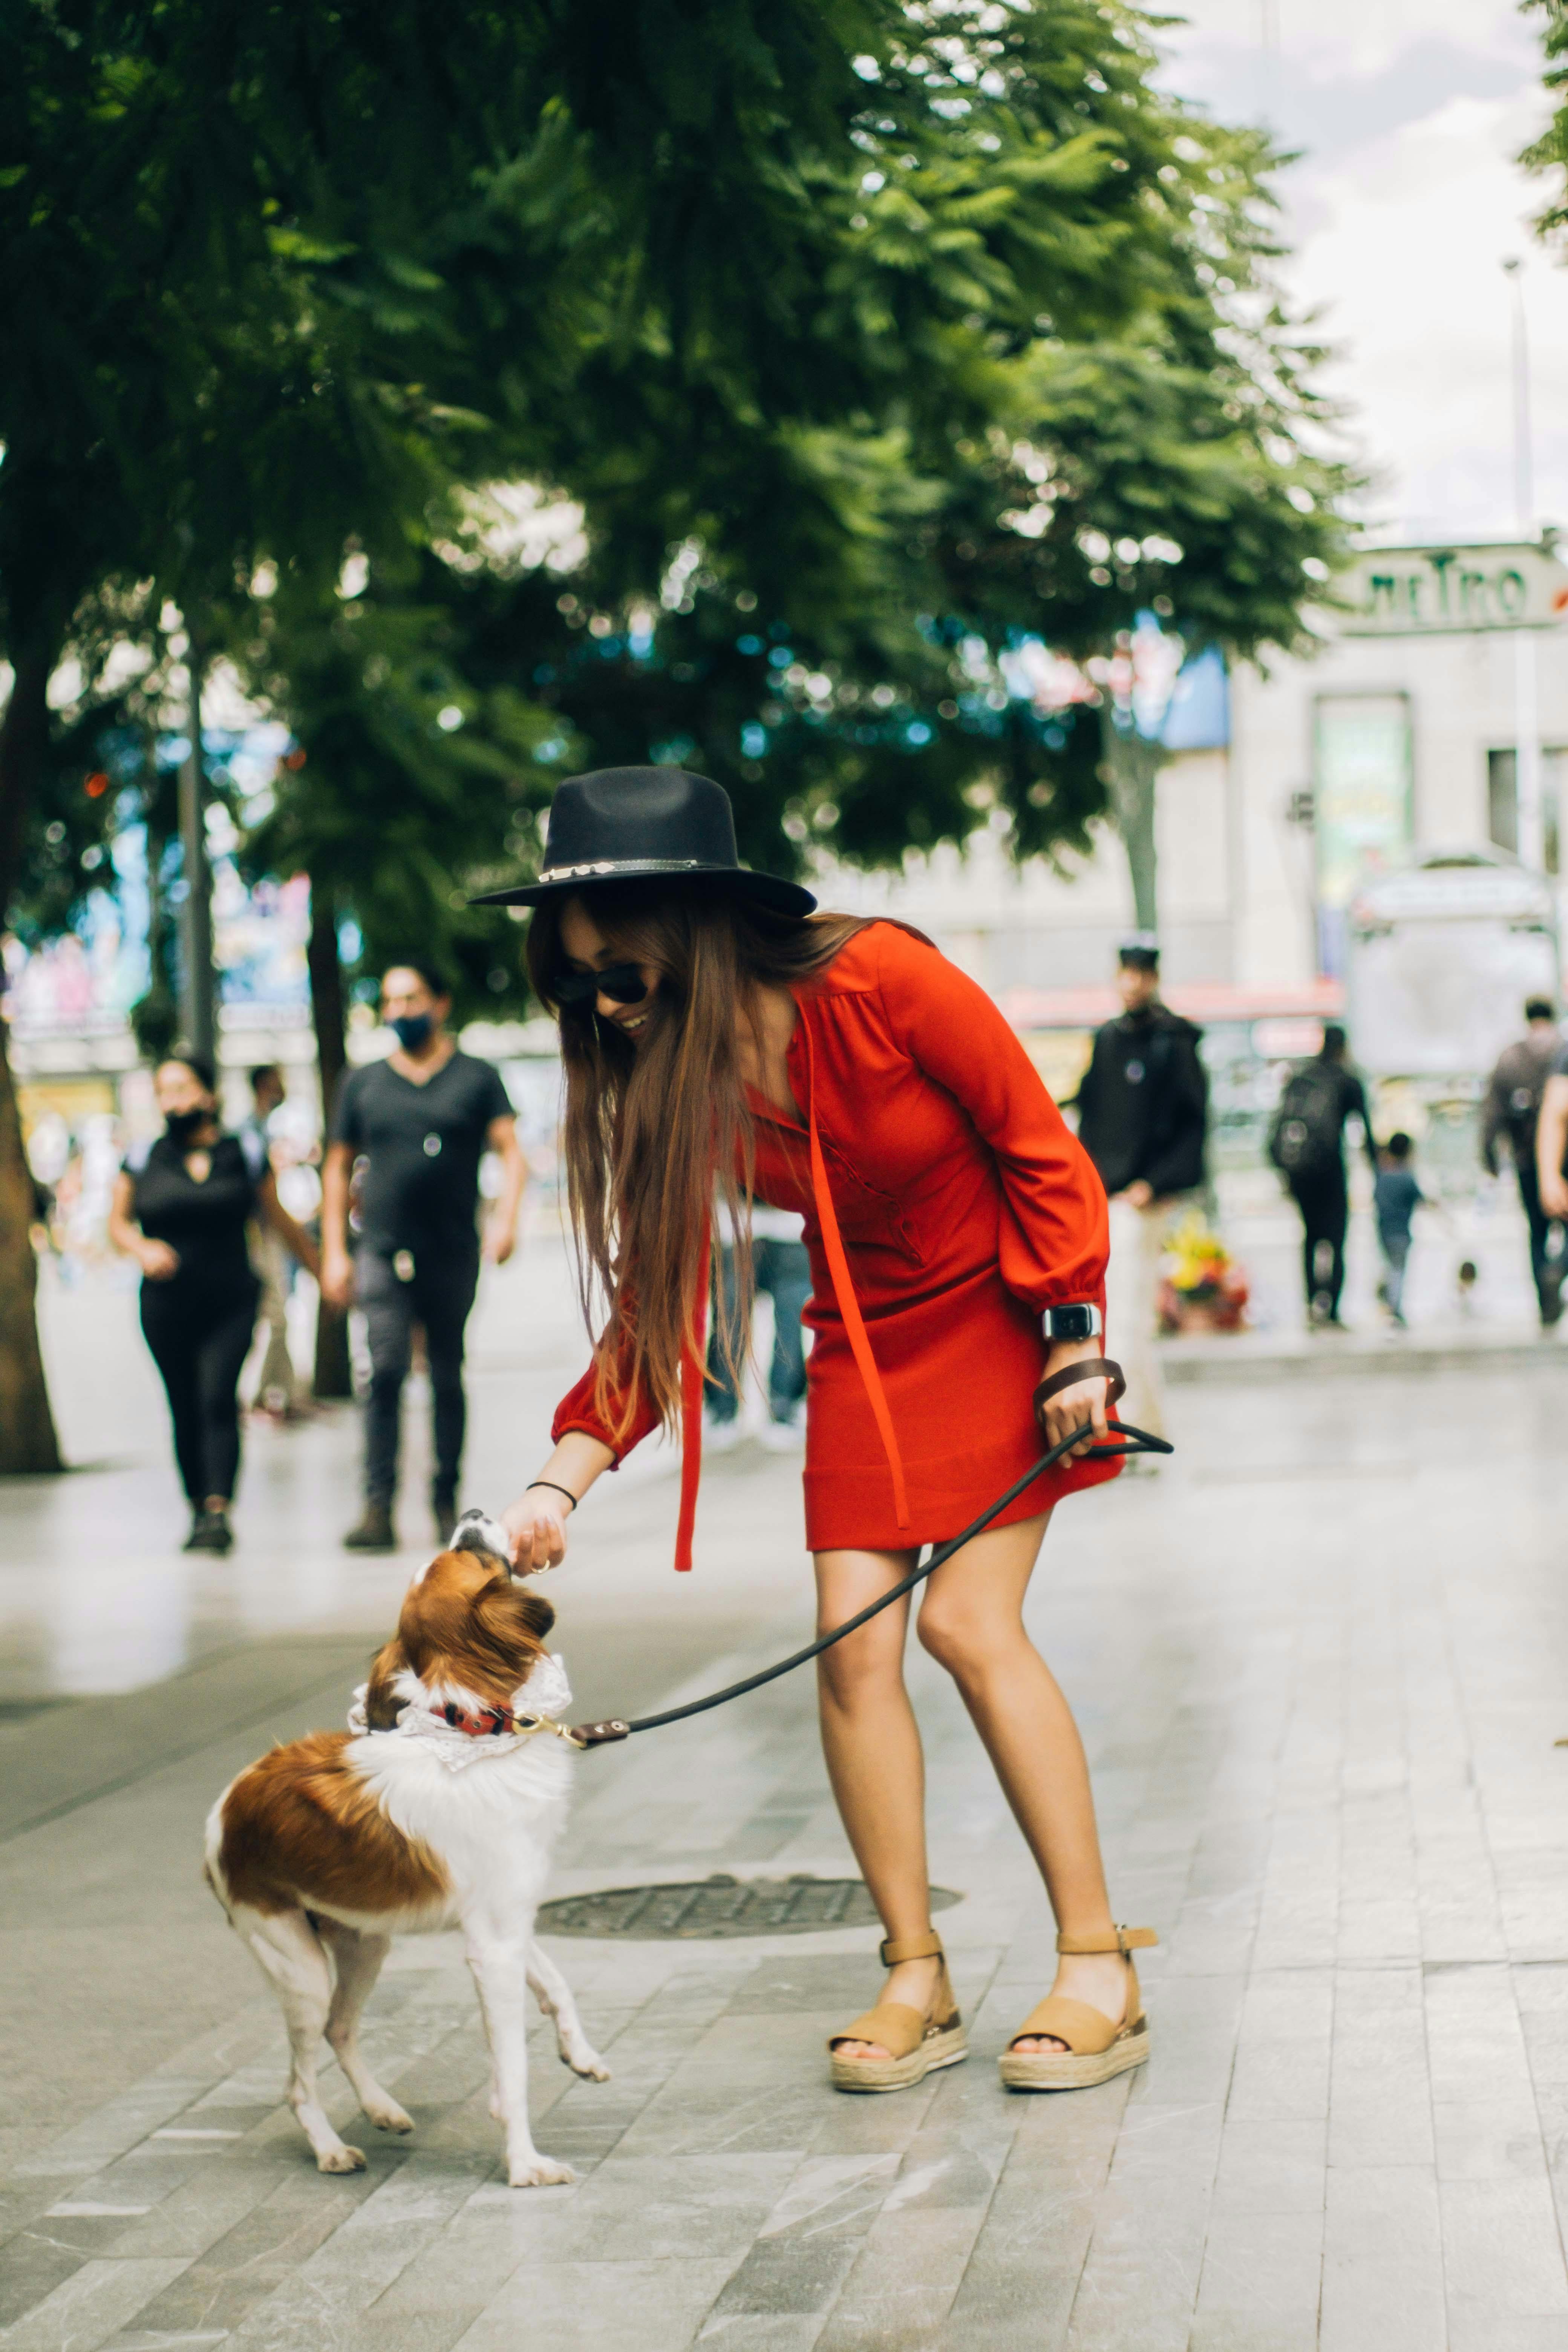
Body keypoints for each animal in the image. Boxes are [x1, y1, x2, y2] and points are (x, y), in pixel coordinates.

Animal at [202, 1505, 606, 2182]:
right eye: (470, 1553)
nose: (472, 1512)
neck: (476, 1737)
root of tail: (227, 1804)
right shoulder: (493, 1946)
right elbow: (513, 2069)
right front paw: (524, 2163)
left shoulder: (507, 1918)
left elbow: (557, 1984)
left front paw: (580, 2054)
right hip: (298, 1964)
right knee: (299, 2080)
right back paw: (330, 2149)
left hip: (365, 1941)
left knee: (341, 2029)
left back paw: (382, 2108)